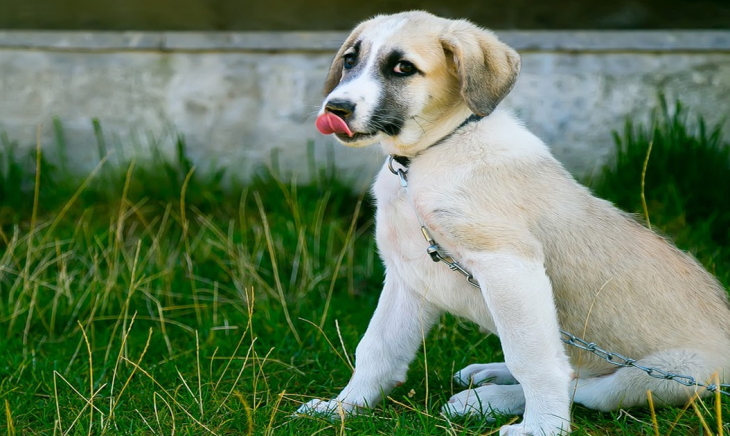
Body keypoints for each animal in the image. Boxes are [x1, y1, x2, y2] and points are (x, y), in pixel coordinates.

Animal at [294, 10, 728, 436]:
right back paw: (488, 376)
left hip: (673, 373)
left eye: (403, 68)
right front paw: (345, 407)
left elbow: (531, 358)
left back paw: (486, 401)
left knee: (587, 386)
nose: (335, 109)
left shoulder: (509, 265)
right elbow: (377, 347)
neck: (428, 156)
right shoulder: (408, 274)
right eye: (351, 60)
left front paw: (541, 427)